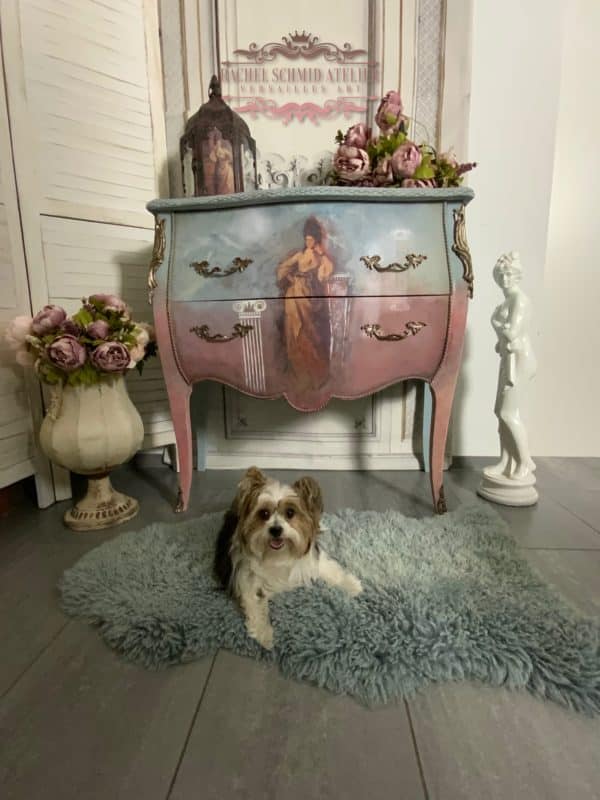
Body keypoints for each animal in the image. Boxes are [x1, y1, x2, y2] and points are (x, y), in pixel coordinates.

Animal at [216, 468, 360, 648]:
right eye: (264, 513)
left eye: (290, 513)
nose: (276, 530)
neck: (280, 553)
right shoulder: (245, 577)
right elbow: (254, 604)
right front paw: (264, 633)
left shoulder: (312, 560)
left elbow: (332, 571)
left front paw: (352, 585)